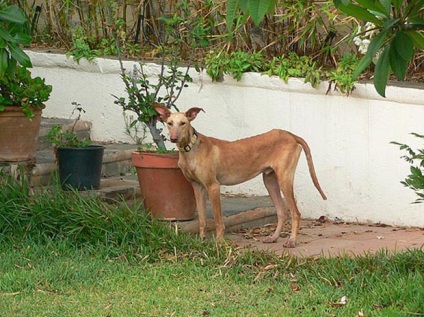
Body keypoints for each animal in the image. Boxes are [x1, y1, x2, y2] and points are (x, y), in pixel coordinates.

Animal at [154, 103, 326, 247]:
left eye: (183, 123)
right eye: (169, 123)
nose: (173, 138)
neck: (191, 149)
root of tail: (290, 134)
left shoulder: (213, 186)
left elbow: (218, 220)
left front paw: (219, 243)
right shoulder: (197, 187)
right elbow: (202, 219)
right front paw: (202, 241)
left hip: (284, 179)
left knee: (295, 213)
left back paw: (292, 241)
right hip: (269, 180)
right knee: (282, 212)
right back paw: (274, 237)